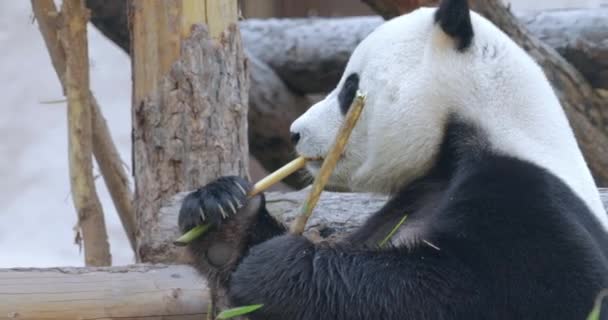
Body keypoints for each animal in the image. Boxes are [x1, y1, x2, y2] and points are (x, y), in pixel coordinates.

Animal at [176, 0, 608, 320]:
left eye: (349, 87)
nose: (295, 132)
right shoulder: (415, 193)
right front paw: (224, 215)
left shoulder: (530, 198)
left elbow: (502, 290)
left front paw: (276, 267)